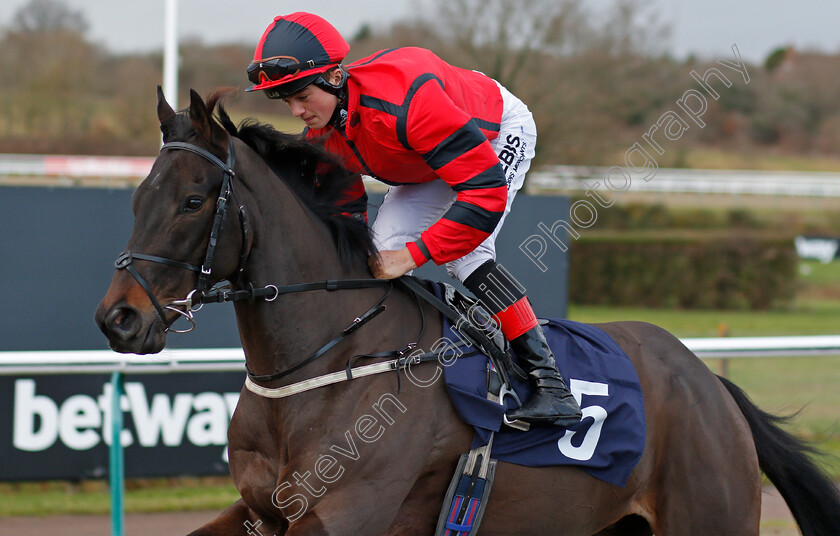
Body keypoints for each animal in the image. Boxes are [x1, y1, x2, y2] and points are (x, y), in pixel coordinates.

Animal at [95, 90, 836, 532]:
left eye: (193, 201)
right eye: (136, 197)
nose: (117, 318)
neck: (326, 365)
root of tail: (707, 380)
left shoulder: (344, 514)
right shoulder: (261, 510)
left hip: (707, 514)